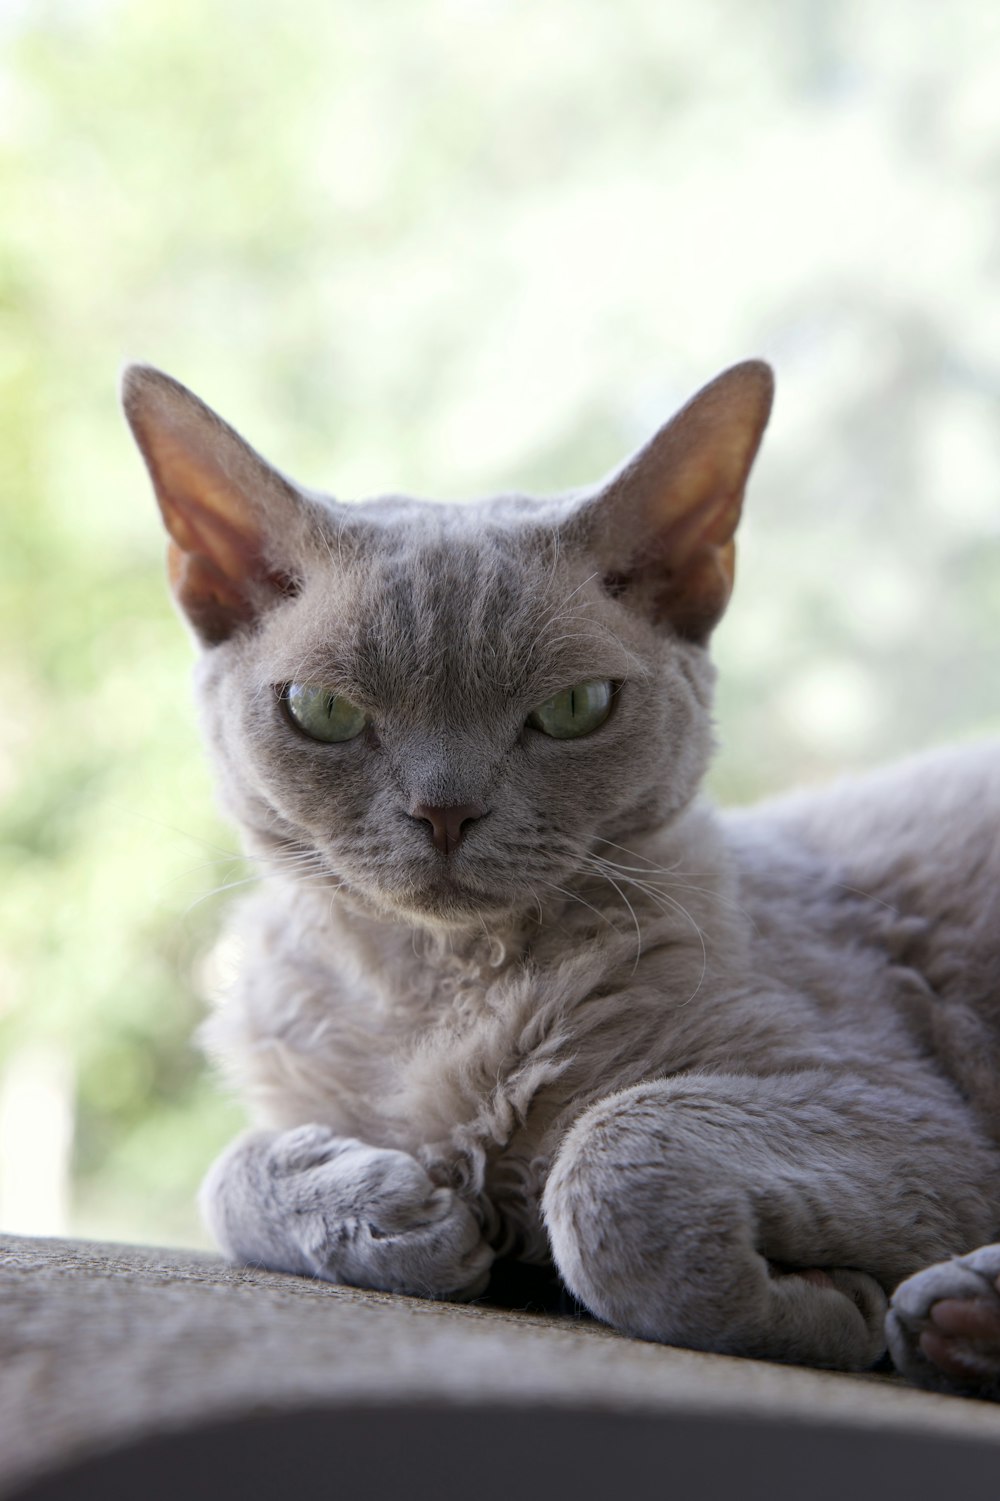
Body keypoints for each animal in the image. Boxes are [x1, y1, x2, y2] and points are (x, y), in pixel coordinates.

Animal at [120, 360, 996, 1392]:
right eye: (325, 710)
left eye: (575, 708)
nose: (445, 810)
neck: (437, 990)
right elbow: (228, 1175)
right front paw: (390, 1212)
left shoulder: (901, 1106)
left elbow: (609, 1164)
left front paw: (820, 1306)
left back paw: (951, 1317)